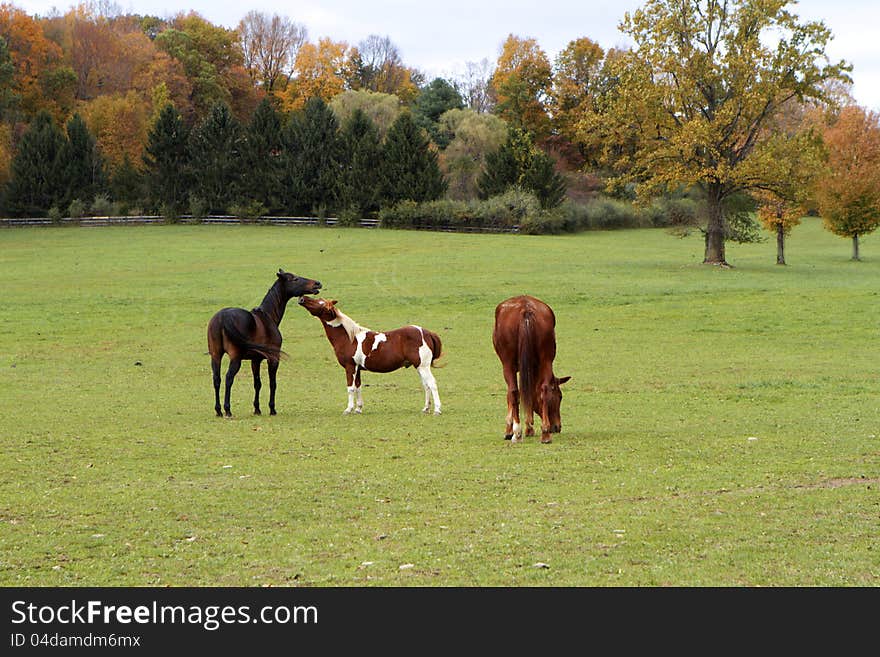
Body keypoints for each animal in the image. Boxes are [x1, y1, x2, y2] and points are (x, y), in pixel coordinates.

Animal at [208, 270, 322, 416]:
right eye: (295, 279)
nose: (317, 284)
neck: (267, 316)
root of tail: (222, 317)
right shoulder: (273, 359)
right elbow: (273, 383)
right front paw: (272, 409)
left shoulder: (255, 360)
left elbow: (257, 383)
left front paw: (257, 409)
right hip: (235, 358)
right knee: (228, 378)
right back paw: (227, 410)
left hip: (216, 355)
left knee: (216, 379)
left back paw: (218, 410)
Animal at [300, 298, 444, 416]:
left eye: (320, 302)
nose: (302, 298)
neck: (349, 338)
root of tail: (427, 333)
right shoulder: (357, 369)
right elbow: (358, 386)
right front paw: (358, 409)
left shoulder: (350, 367)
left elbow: (350, 388)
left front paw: (348, 409)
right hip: (419, 367)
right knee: (426, 385)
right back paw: (426, 408)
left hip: (423, 367)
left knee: (432, 384)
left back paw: (437, 410)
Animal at [488, 294, 572, 444]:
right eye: (560, 396)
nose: (557, 427)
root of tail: (525, 310)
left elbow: (514, 395)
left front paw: (512, 429)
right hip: (546, 359)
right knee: (543, 389)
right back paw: (545, 433)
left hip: (507, 363)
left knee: (513, 391)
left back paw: (517, 433)